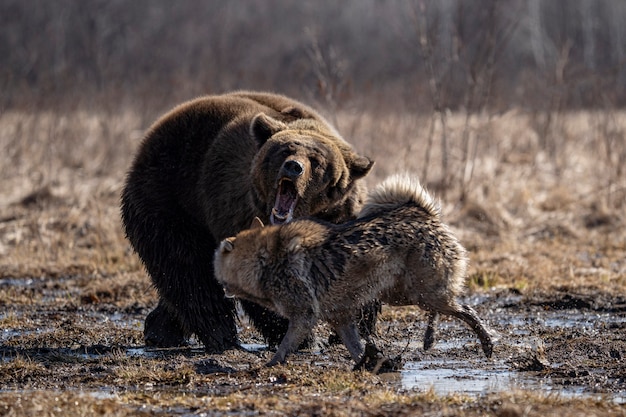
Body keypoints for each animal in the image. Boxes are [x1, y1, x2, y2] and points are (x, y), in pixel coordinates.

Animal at [120, 91, 372, 352]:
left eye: (316, 160)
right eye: (285, 150)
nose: (293, 167)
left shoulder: (341, 219)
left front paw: (356, 326)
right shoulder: (240, 211)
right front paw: (297, 334)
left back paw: (162, 331)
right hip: (171, 199)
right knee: (188, 271)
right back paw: (220, 335)